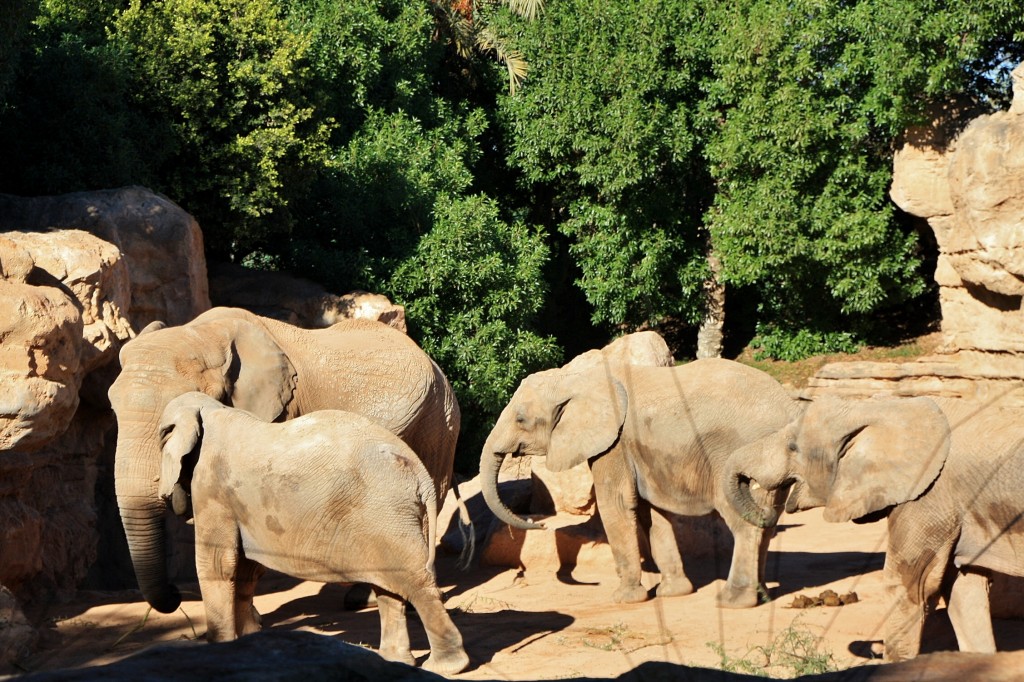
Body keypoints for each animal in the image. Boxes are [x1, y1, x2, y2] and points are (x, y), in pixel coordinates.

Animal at [108, 305, 460, 614]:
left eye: (168, 427)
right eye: (111, 407)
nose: (177, 594)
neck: (205, 333)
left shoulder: (277, 411)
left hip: (437, 421)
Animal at [158, 391, 468, 671]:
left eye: (161, 440)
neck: (211, 410)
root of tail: (420, 472)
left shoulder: (211, 485)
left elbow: (218, 564)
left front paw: (218, 648)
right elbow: (246, 567)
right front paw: (247, 644)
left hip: (388, 512)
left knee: (415, 583)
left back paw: (447, 667)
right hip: (392, 518)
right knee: (389, 584)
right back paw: (396, 661)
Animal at [479, 356, 798, 606]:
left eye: (521, 419)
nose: (540, 524)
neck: (577, 379)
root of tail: (786, 407)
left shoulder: (615, 444)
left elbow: (616, 505)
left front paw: (624, 598)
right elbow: (650, 512)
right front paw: (673, 593)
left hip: (734, 454)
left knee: (744, 520)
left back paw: (735, 601)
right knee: (765, 522)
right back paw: (762, 595)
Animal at [720, 393, 1024, 659]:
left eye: (793, 447)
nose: (769, 515)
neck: (882, 407)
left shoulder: (929, 497)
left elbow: (910, 586)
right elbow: (964, 587)